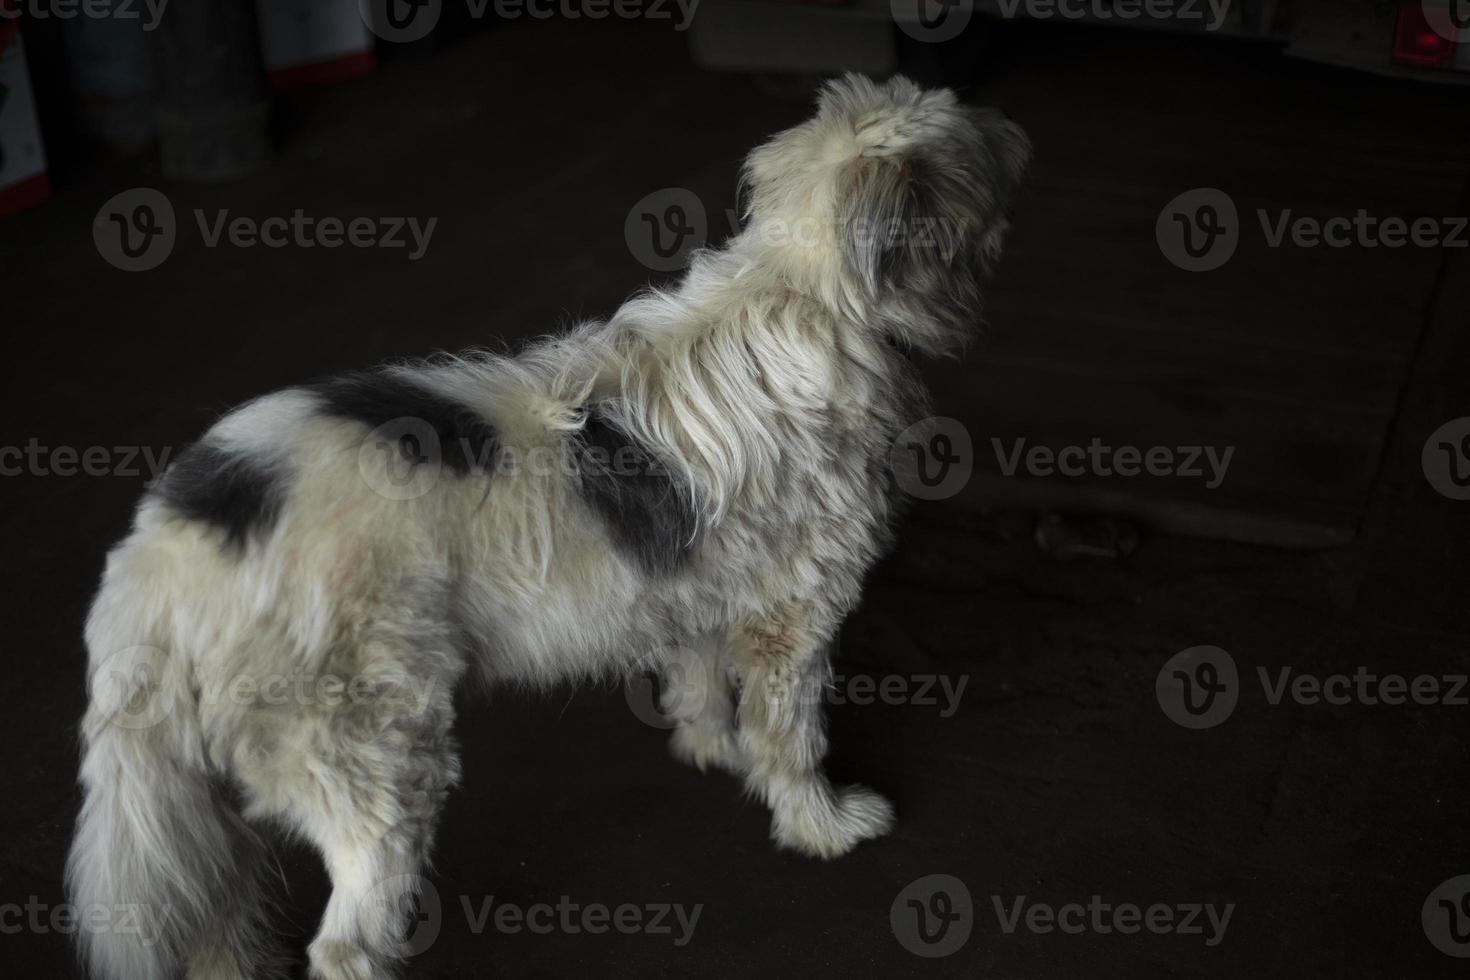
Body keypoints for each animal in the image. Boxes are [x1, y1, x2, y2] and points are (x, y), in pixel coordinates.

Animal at [63, 76, 1029, 980]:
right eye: (977, 153)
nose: (1019, 134)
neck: (808, 295)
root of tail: (162, 559)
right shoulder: (793, 618)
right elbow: (790, 737)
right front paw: (820, 824)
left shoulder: (697, 588)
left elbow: (700, 687)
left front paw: (711, 751)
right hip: (377, 762)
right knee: (345, 942)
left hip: (217, 806)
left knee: (218, 926)